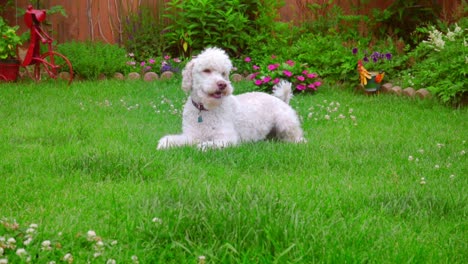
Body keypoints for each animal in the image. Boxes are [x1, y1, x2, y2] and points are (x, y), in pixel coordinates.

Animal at [155, 47, 306, 150]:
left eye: (223, 73)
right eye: (206, 70)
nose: (222, 84)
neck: (205, 110)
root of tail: (283, 100)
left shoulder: (227, 137)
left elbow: (206, 144)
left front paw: (202, 146)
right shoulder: (191, 135)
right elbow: (174, 140)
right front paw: (165, 143)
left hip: (285, 122)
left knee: (299, 137)